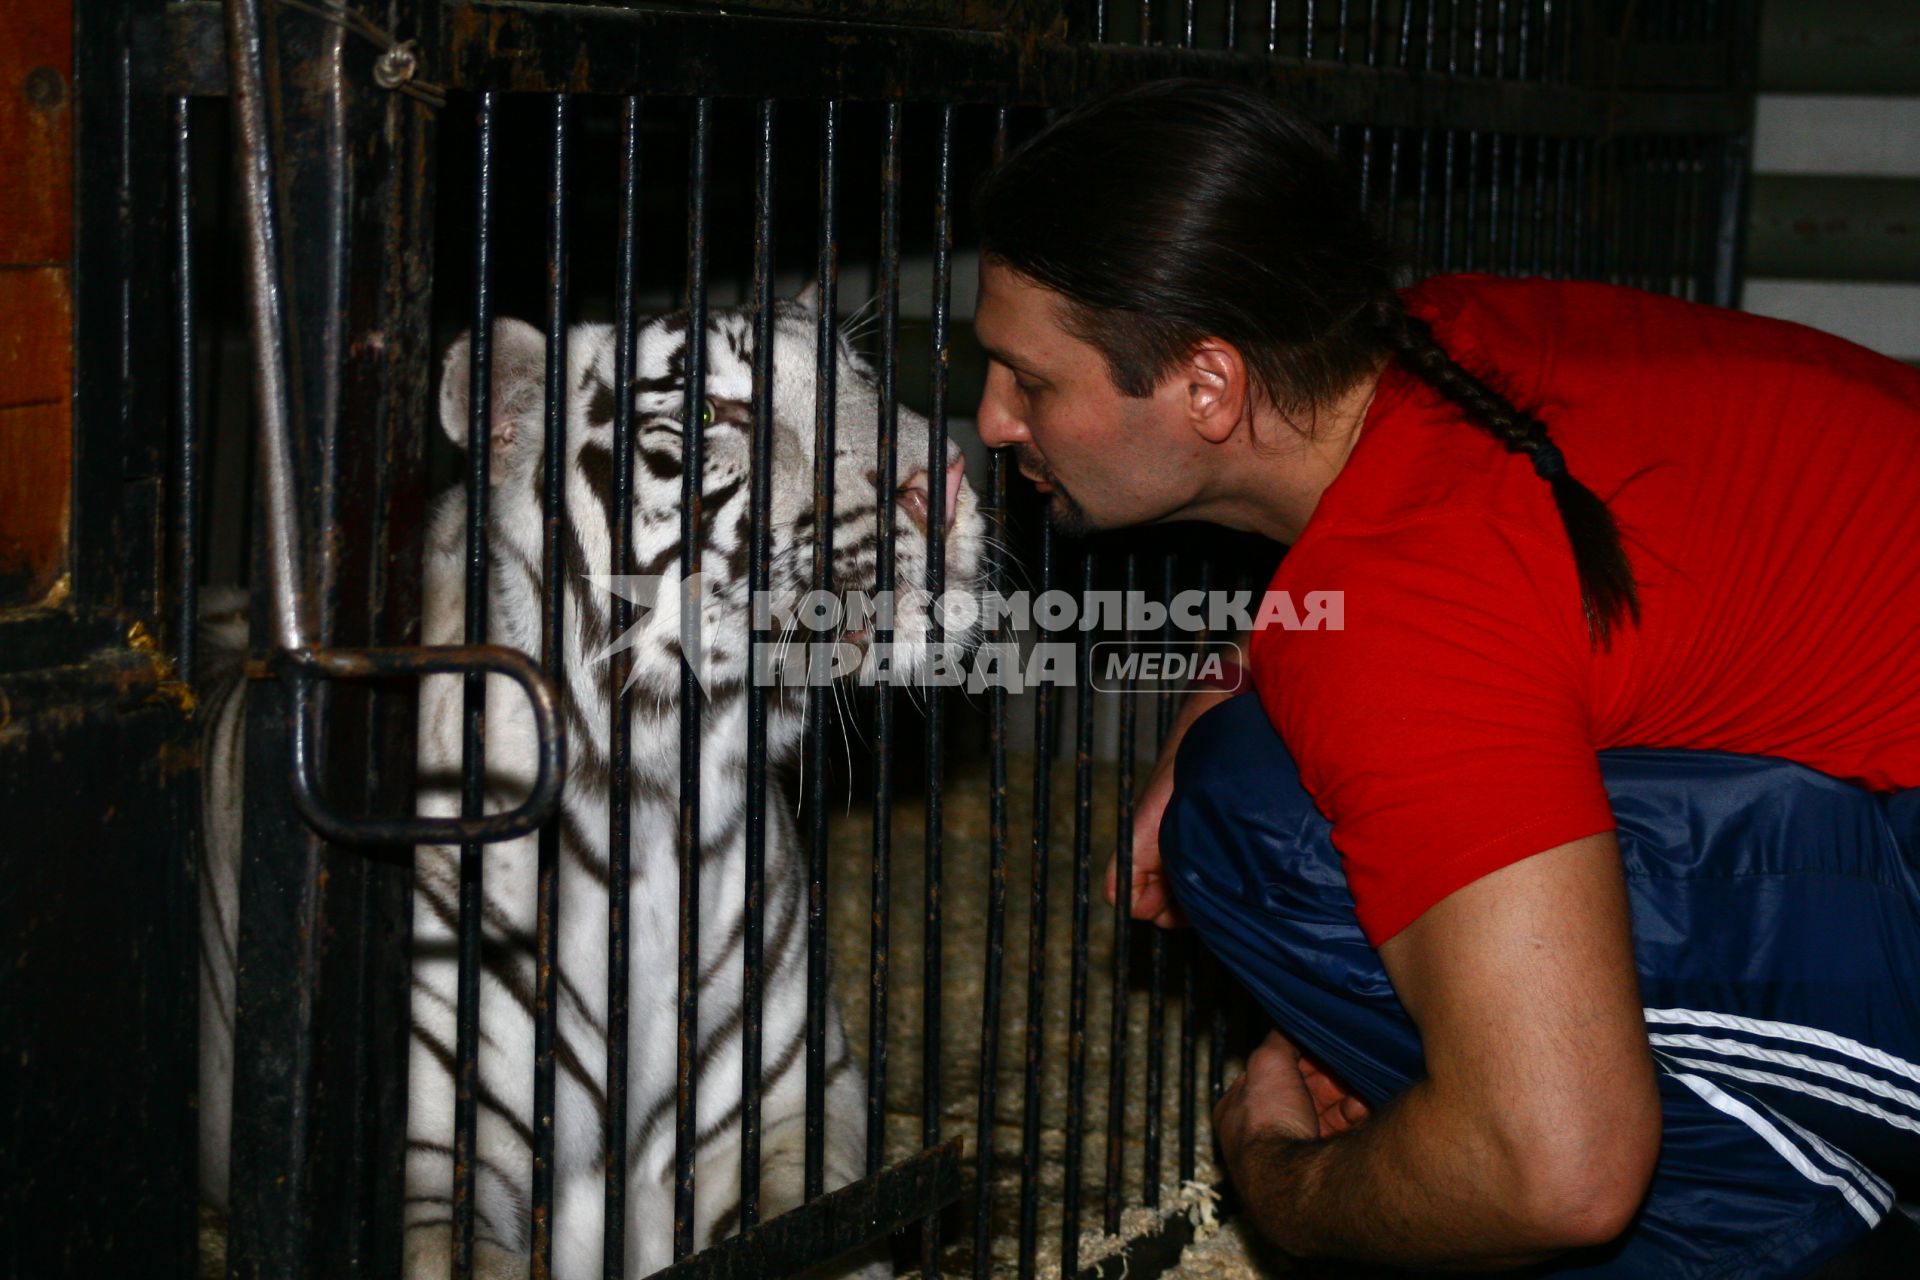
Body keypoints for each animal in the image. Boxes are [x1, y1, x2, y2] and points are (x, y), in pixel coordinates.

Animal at [200, 293, 983, 1280]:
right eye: (711, 414)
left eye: (865, 376)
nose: (943, 478)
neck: (652, 797)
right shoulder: (431, 1168)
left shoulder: (797, 1116)